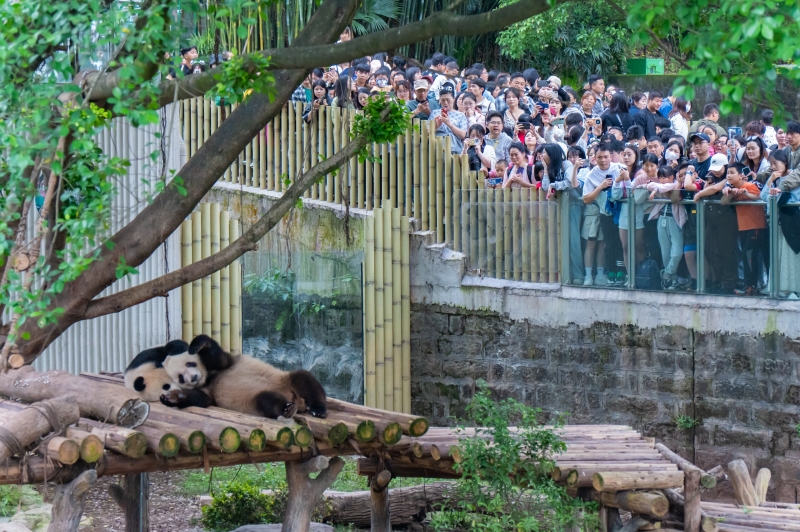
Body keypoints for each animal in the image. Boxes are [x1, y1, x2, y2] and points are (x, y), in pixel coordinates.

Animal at [123, 336, 326, 420]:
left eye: (190, 364)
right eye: (180, 378)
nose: (193, 378)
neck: (208, 378)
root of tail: (297, 401)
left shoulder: (223, 363)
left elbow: (219, 358)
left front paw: (199, 345)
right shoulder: (206, 390)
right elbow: (202, 399)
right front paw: (173, 398)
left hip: (285, 380)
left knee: (305, 380)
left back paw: (318, 409)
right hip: (257, 398)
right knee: (267, 401)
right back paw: (286, 409)